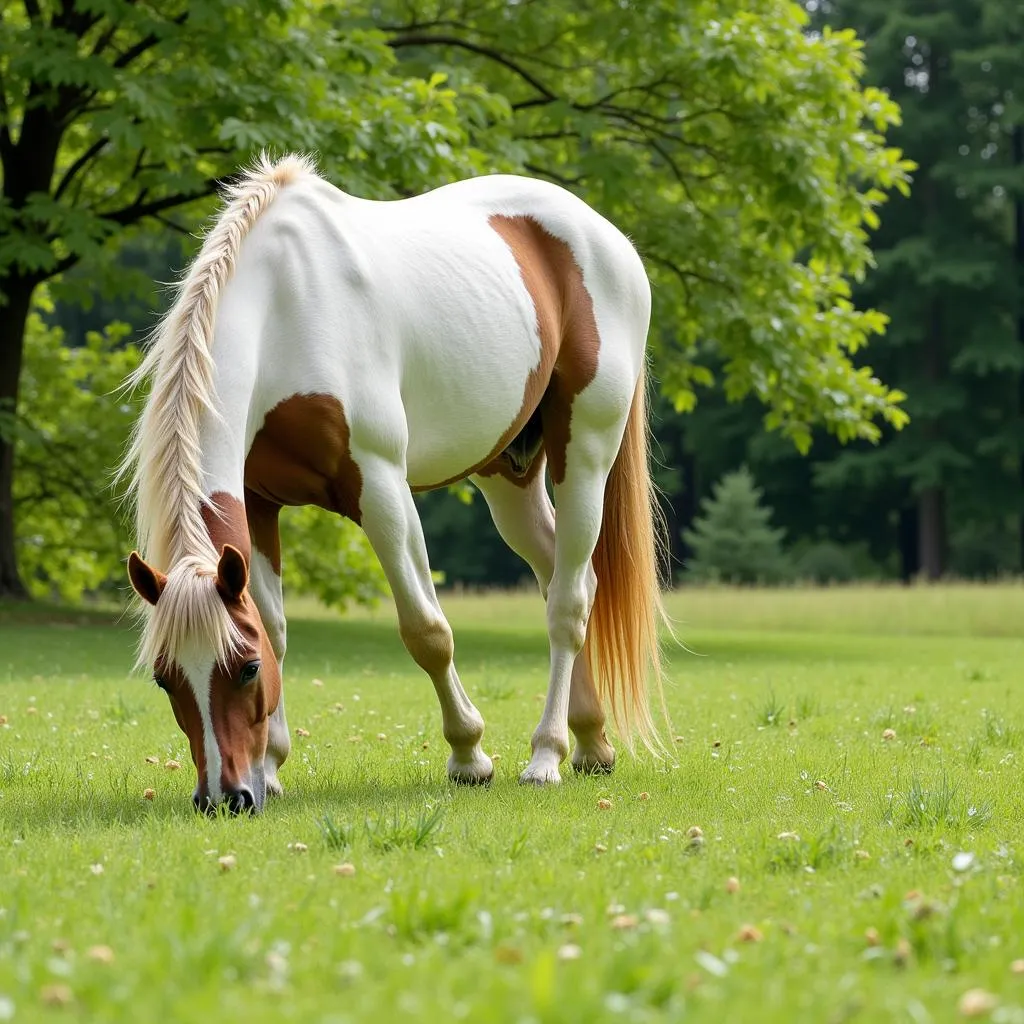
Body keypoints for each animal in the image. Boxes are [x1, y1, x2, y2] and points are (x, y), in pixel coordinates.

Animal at [119, 151, 667, 811]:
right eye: (164, 676)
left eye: (244, 668)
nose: (225, 798)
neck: (285, 305)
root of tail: (606, 236)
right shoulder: (259, 504)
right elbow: (276, 628)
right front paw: (272, 766)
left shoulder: (381, 488)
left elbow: (426, 630)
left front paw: (469, 755)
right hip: (507, 476)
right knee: (563, 573)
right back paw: (590, 743)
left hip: (584, 452)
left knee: (569, 601)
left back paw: (546, 756)